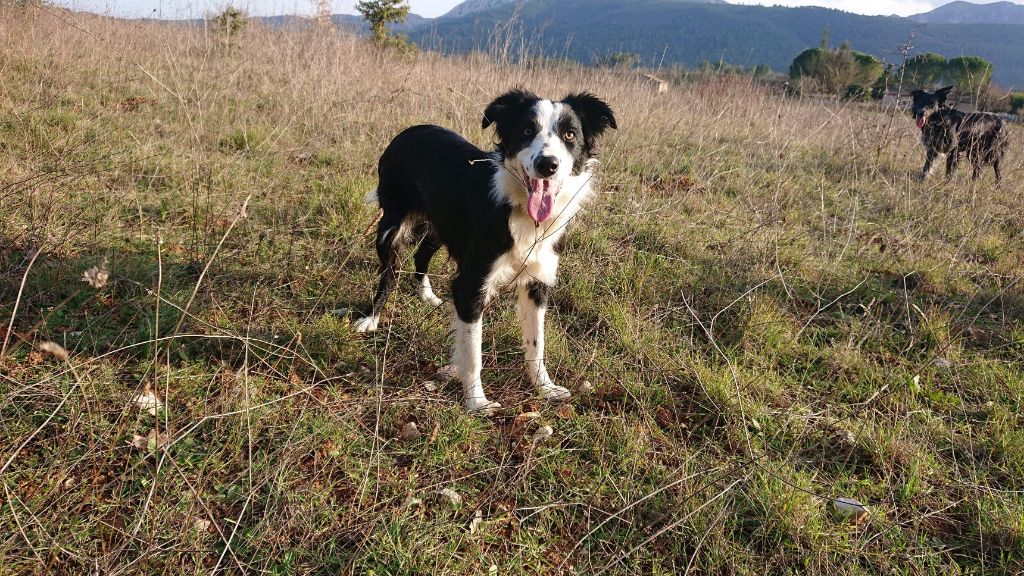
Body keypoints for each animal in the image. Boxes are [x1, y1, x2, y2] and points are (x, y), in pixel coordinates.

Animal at [352, 88, 614, 412]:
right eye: (527, 131)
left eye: (569, 134)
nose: (547, 164)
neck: (520, 211)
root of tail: (410, 130)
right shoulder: (471, 286)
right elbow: (473, 352)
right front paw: (477, 402)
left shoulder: (538, 282)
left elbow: (536, 343)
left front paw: (545, 388)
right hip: (391, 224)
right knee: (388, 273)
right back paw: (372, 318)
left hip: (441, 226)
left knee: (421, 254)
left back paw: (427, 295)